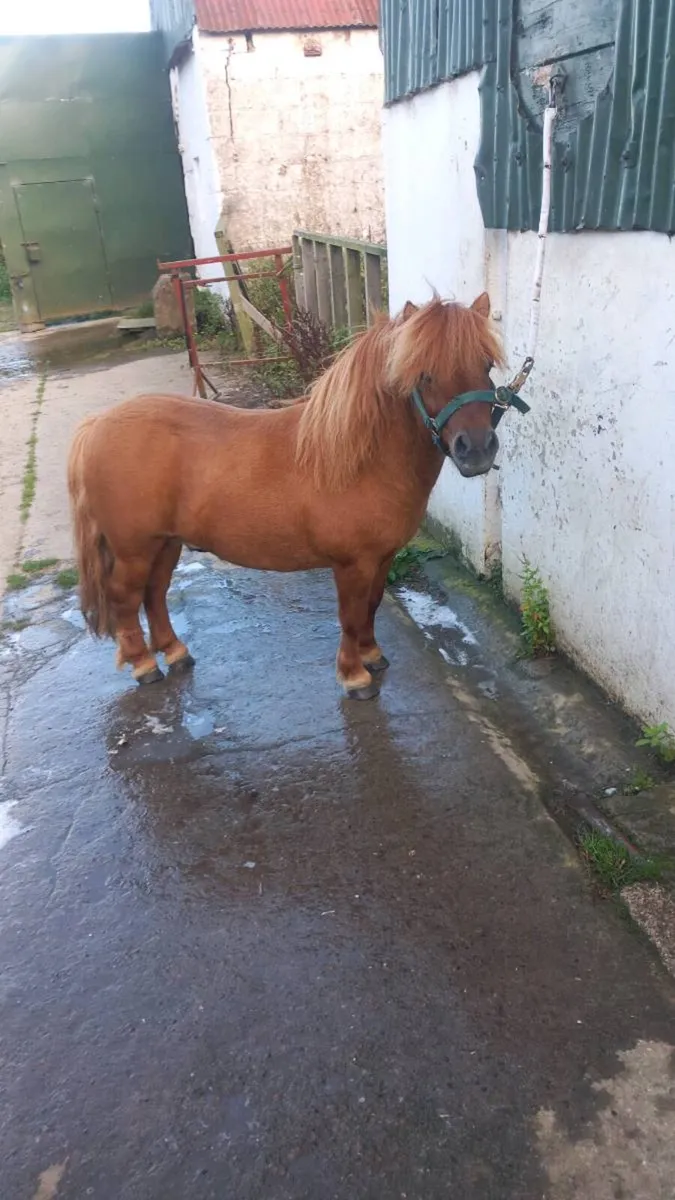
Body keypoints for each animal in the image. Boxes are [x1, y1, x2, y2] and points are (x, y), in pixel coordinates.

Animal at [67, 292, 514, 700]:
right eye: (424, 375)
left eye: (486, 365)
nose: (476, 449)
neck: (360, 458)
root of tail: (97, 424)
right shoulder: (352, 564)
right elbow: (350, 615)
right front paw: (354, 676)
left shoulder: (382, 557)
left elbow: (370, 607)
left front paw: (371, 656)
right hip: (134, 549)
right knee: (125, 599)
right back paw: (144, 665)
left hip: (166, 543)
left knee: (154, 594)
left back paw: (175, 653)